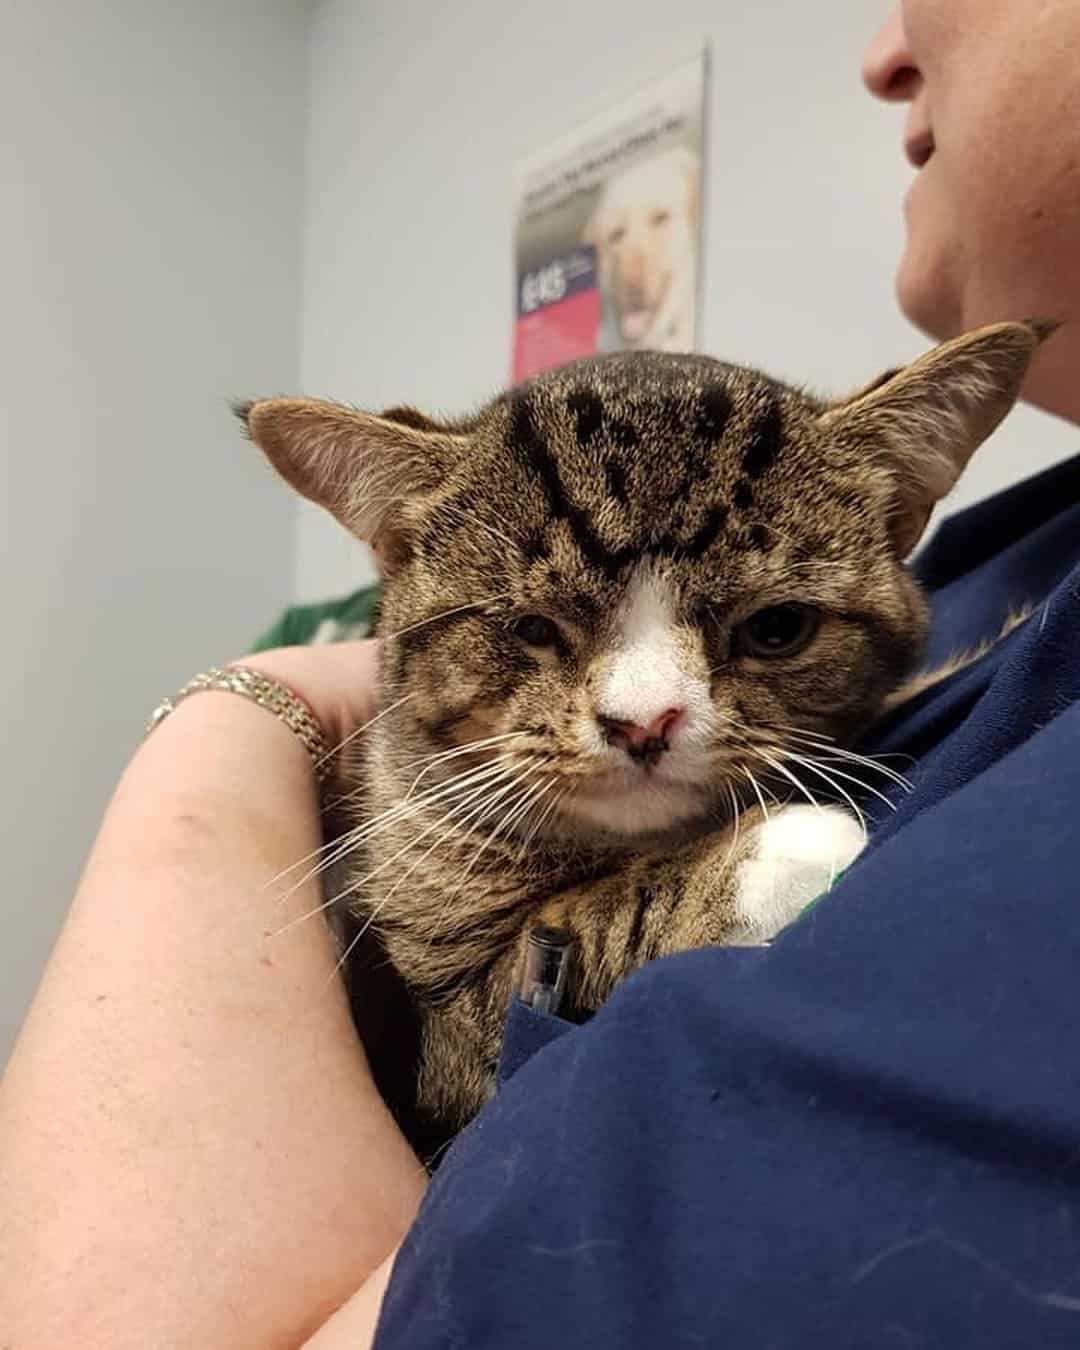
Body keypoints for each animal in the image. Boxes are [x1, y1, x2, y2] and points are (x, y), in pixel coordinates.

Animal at [238, 318, 1053, 1150]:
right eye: (531, 628)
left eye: (777, 628)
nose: (642, 722)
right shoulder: (438, 1036)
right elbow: (555, 939)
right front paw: (760, 863)